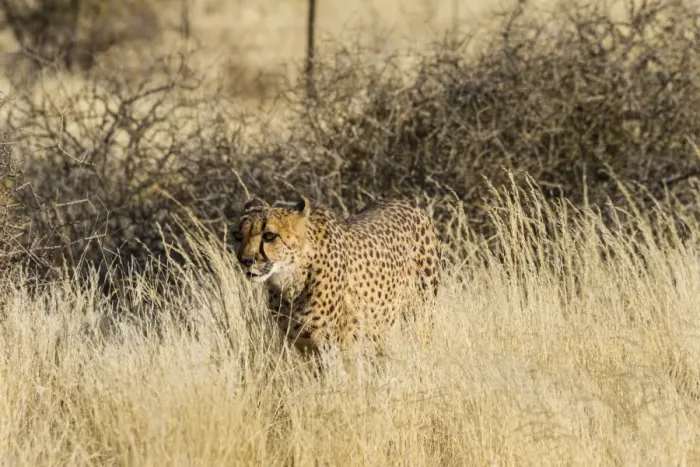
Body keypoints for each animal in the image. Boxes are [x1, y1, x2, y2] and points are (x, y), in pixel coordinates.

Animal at [233, 195, 441, 354]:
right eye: (238, 236)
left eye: (269, 236)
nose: (245, 260)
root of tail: (406, 201)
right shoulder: (305, 345)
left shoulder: (336, 345)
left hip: (419, 312)